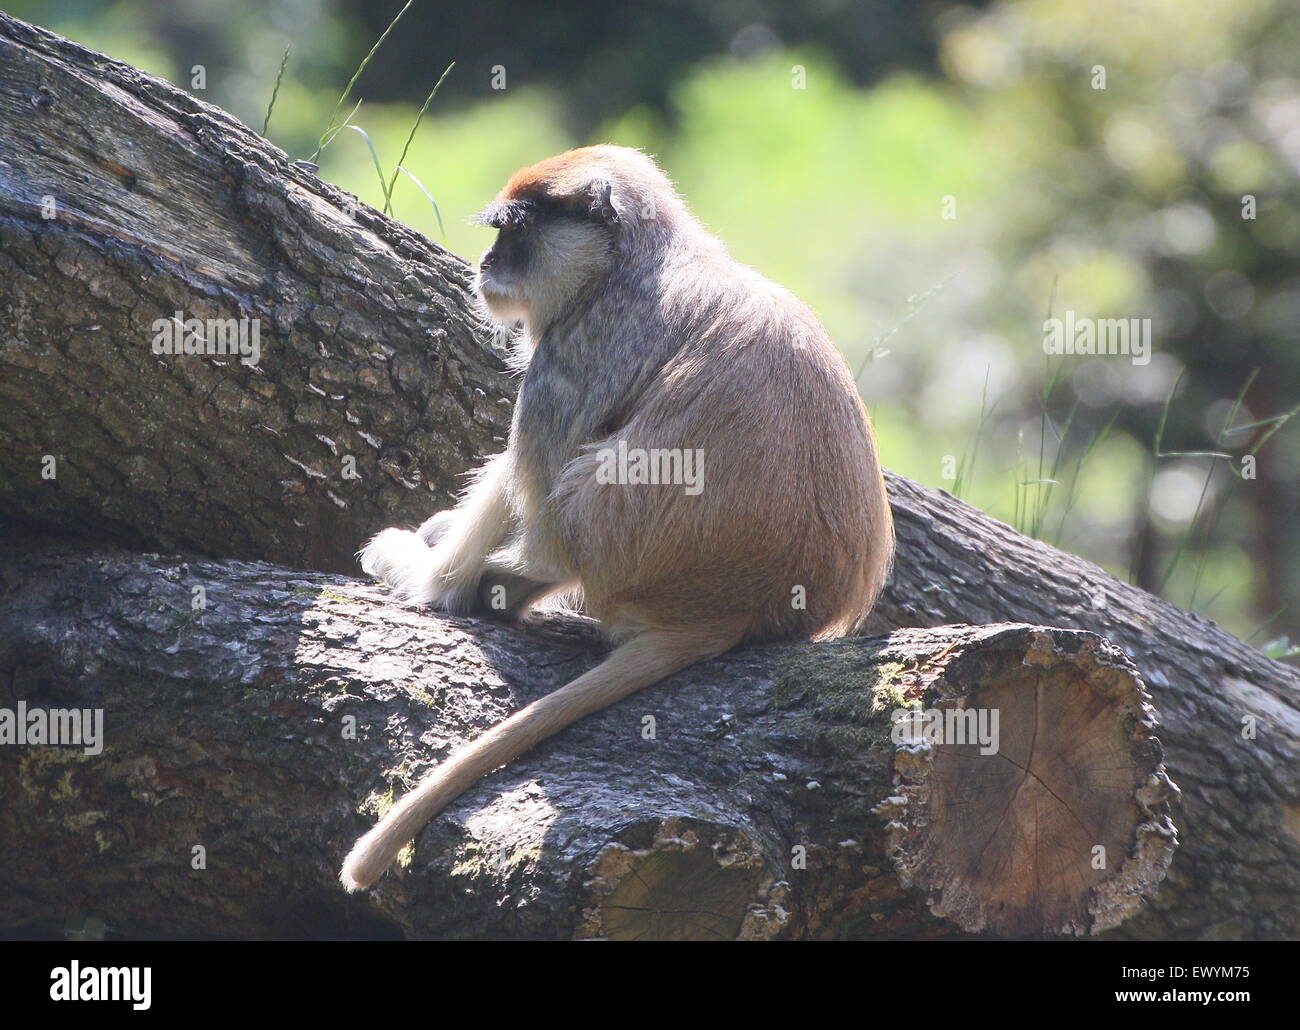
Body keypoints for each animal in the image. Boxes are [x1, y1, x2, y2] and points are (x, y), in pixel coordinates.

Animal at [338, 145, 894, 894]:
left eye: (515, 232)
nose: (487, 264)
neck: (631, 262)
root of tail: (735, 609)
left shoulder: (570, 353)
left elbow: (531, 489)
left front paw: (426, 570)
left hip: (611, 558)